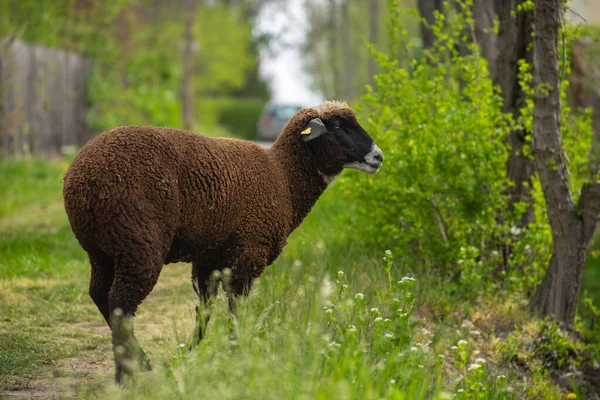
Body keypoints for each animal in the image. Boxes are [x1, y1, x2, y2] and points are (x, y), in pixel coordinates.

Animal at [63, 100, 382, 382]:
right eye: (337, 125)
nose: (378, 157)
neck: (283, 179)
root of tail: (81, 179)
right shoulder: (250, 252)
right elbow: (236, 308)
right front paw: (234, 354)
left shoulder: (209, 258)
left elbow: (204, 310)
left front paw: (193, 356)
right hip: (138, 242)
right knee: (120, 304)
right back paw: (127, 374)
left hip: (100, 249)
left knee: (99, 295)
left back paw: (140, 364)